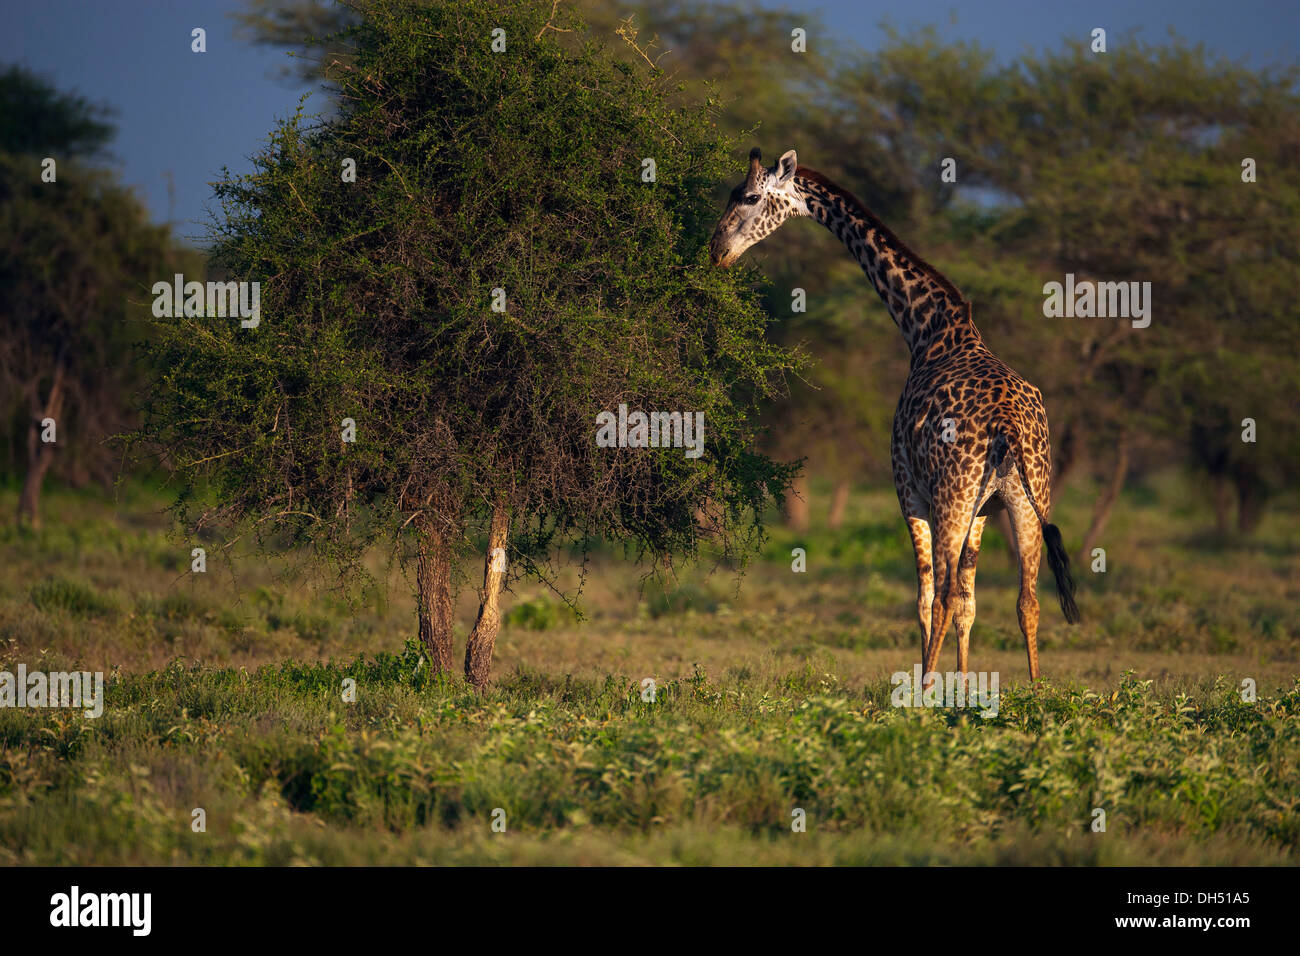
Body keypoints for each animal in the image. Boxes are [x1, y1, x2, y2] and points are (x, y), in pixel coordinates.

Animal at [712, 147, 1076, 681]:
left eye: (750, 197)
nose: (716, 249)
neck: (926, 330)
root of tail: (1007, 425)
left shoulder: (908, 490)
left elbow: (926, 598)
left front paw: (938, 688)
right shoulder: (982, 510)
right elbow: (969, 603)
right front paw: (965, 687)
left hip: (952, 498)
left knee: (941, 596)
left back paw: (923, 688)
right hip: (1027, 501)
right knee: (1026, 598)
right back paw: (1034, 691)